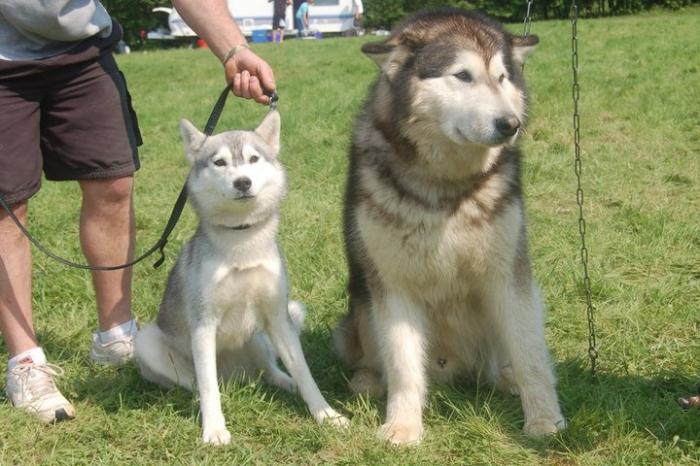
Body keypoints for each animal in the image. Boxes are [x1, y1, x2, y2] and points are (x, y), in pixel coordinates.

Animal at [133, 111, 348, 446]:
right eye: (219, 162)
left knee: (272, 370)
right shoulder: (203, 325)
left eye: (253, 158)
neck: (242, 241)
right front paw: (214, 429)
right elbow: (208, 386)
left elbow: (304, 372)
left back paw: (286, 383)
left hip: (258, 337)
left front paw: (326, 414)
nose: (242, 181)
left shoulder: (278, 317)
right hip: (147, 342)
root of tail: (237, 380)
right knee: (199, 383)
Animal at [330, 8, 568, 444]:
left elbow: (531, 357)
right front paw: (403, 426)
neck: (445, 188)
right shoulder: (393, 284)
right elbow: (403, 366)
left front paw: (545, 421)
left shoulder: (509, 276)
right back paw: (369, 380)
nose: (511, 124)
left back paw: (506, 378)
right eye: (462, 75)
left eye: (502, 77)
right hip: (360, 310)